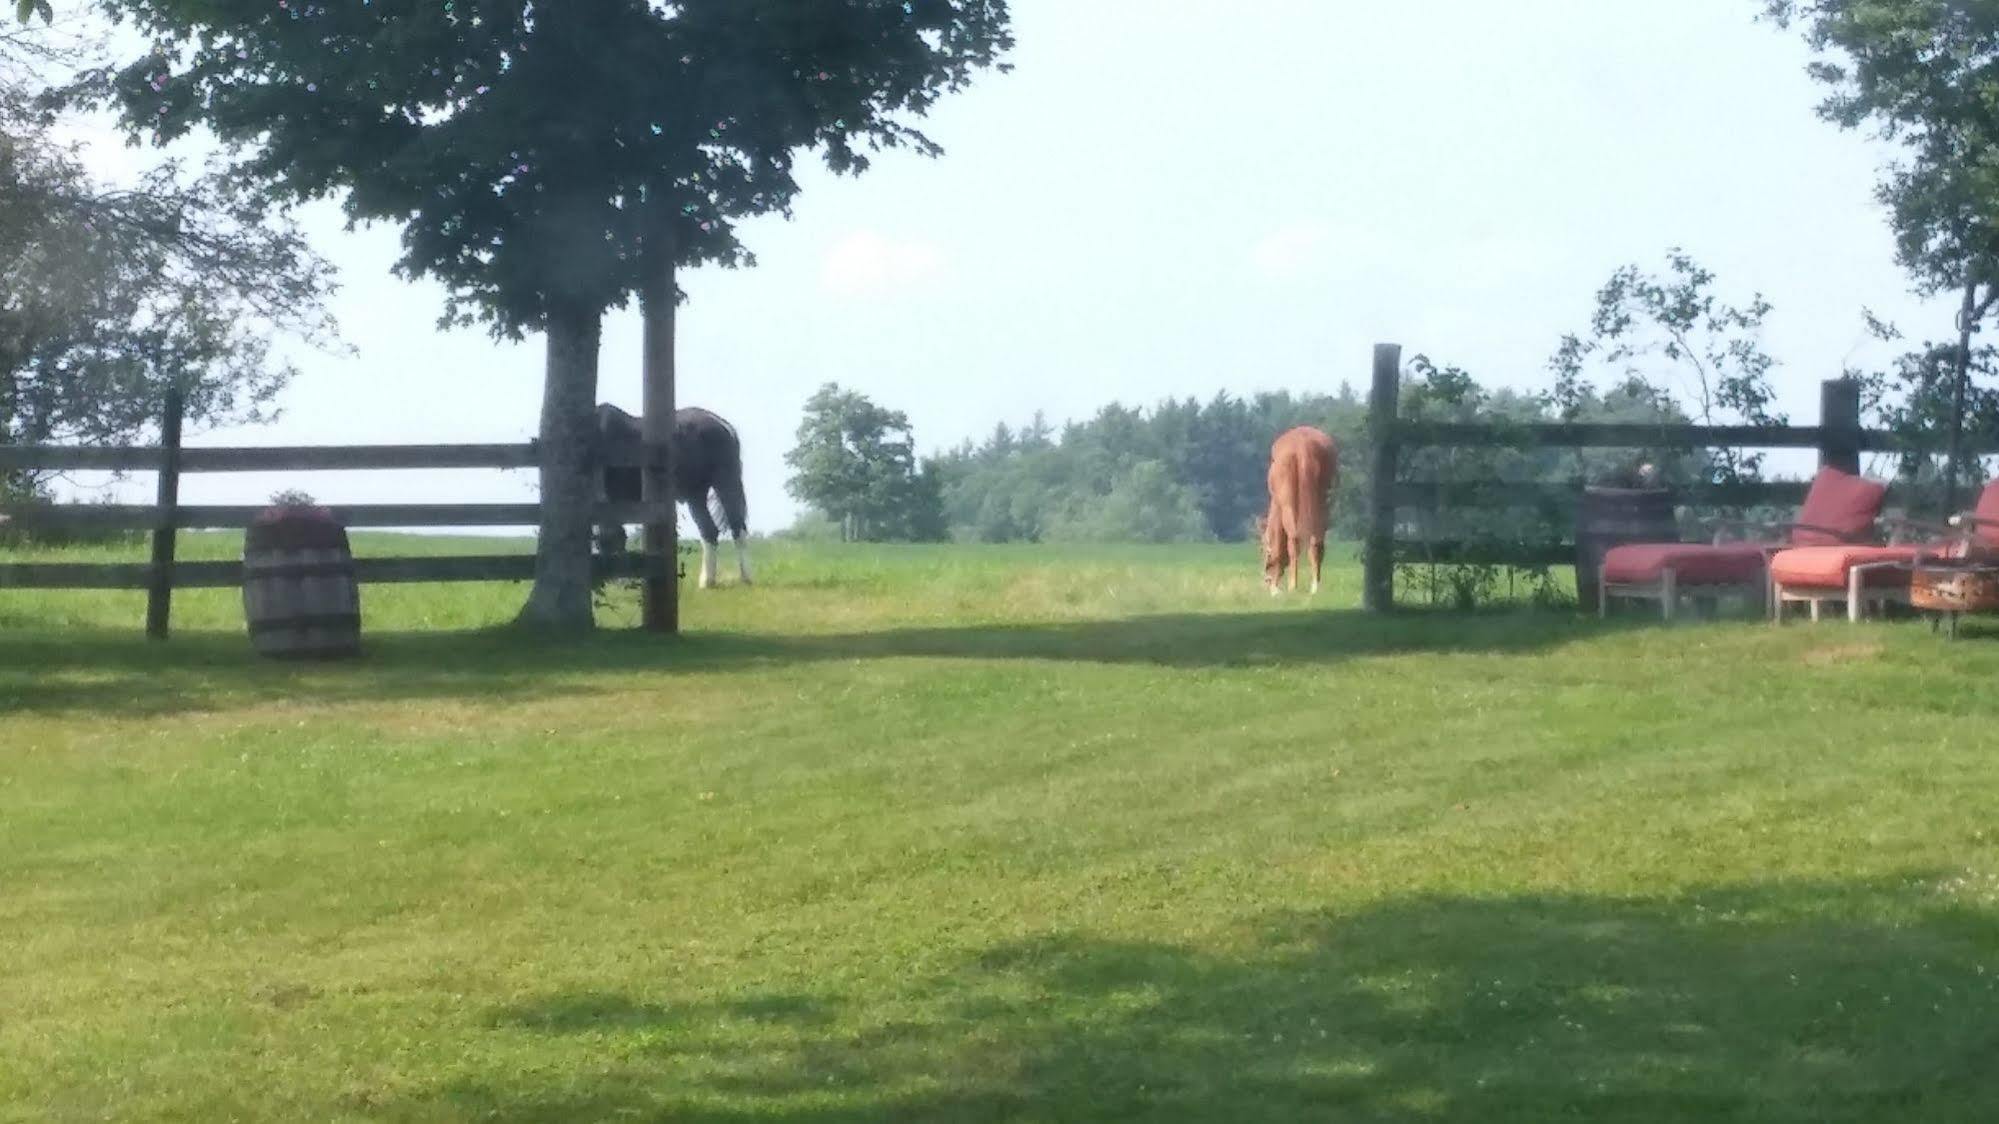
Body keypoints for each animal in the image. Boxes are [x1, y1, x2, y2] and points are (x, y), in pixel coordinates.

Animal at [1263, 422, 1343, 596]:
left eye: (1266, 552)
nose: (1268, 581)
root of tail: (1303, 446)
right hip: (1322, 502)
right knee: (1316, 542)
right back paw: (1315, 586)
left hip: (1289, 504)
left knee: (1294, 541)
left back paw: (1293, 586)